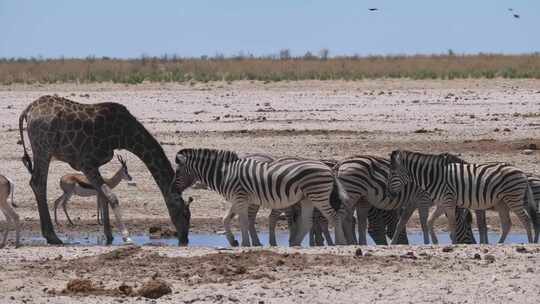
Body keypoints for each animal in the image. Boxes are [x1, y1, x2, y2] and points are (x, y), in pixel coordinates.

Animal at [19, 94, 191, 245]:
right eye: (184, 214)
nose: (184, 238)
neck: (124, 135)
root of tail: (27, 110)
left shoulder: (95, 164)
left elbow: (103, 195)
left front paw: (109, 236)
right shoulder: (86, 162)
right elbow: (111, 196)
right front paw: (126, 236)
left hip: (42, 149)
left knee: (37, 183)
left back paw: (51, 236)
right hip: (43, 148)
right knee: (38, 183)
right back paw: (52, 237)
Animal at [175, 148, 348, 247]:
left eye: (177, 172)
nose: (173, 189)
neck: (225, 173)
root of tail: (328, 168)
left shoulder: (240, 197)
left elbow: (243, 221)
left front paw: (245, 243)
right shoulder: (238, 198)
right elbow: (226, 218)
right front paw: (233, 241)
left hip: (318, 194)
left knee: (334, 216)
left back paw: (341, 242)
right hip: (308, 198)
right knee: (307, 221)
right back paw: (295, 243)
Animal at [388, 150, 536, 245]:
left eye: (393, 172)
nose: (390, 194)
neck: (434, 177)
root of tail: (522, 172)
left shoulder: (448, 201)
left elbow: (452, 224)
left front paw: (453, 243)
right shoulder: (442, 203)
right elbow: (430, 221)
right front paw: (435, 242)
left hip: (513, 198)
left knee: (526, 220)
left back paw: (530, 242)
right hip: (502, 202)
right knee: (507, 224)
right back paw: (499, 244)